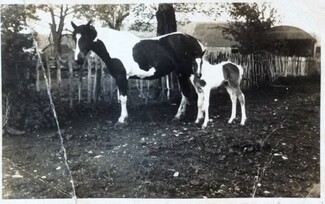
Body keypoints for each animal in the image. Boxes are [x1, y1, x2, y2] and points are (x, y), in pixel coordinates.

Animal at [71, 21, 204, 122]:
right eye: (74, 38)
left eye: (85, 37)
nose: (78, 59)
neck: (115, 45)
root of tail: (198, 43)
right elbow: (122, 97)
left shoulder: (121, 77)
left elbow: (123, 98)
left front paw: (122, 119)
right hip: (186, 74)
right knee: (192, 93)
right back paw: (184, 116)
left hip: (186, 73)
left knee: (192, 93)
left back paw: (191, 117)